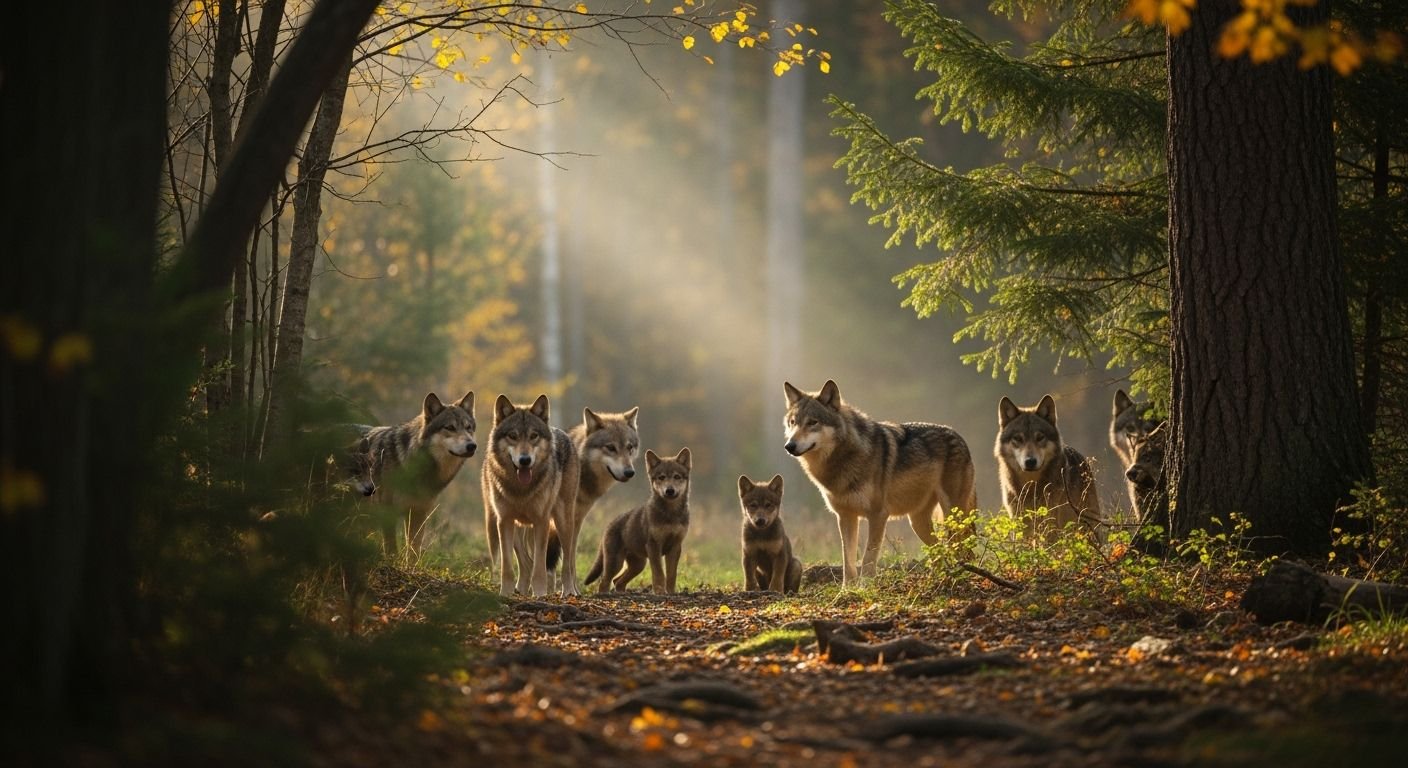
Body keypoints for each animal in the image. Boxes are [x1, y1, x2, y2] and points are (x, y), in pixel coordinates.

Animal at [362, 391, 476, 555]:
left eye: (468, 427)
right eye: (450, 427)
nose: (472, 446)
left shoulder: (418, 514)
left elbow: (413, 551)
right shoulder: (387, 514)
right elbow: (391, 549)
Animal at [482, 394, 581, 597]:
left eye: (534, 436)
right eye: (513, 436)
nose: (525, 460)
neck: (520, 490)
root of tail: (561, 431)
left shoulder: (541, 521)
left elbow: (540, 567)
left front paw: (540, 594)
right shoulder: (504, 521)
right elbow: (507, 567)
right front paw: (505, 594)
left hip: (563, 522)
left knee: (568, 562)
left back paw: (569, 592)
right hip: (518, 529)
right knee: (526, 564)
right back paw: (520, 590)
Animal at [583, 448, 691, 595]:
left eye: (677, 477)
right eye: (661, 477)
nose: (669, 490)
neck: (671, 514)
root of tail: (609, 525)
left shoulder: (675, 547)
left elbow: (671, 575)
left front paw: (670, 593)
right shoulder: (654, 546)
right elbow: (659, 573)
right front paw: (659, 592)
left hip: (638, 565)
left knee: (617, 581)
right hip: (616, 563)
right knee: (604, 581)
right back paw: (605, 595)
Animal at [783, 380, 977, 587]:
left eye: (813, 422)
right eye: (793, 422)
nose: (789, 446)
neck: (844, 458)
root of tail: (958, 435)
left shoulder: (878, 515)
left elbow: (868, 558)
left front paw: (865, 587)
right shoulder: (845, 516)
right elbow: (848, 561)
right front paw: (847, 590)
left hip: (953, 516)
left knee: (962, 550)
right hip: (918, 521)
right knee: (939, 552)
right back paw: (936, 580)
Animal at [996, 395, 1102, 541]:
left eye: (1040, 437)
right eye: (1018, 438)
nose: (1030, 461)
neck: (1032, 487)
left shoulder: (1051, 523)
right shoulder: (1019, 523)